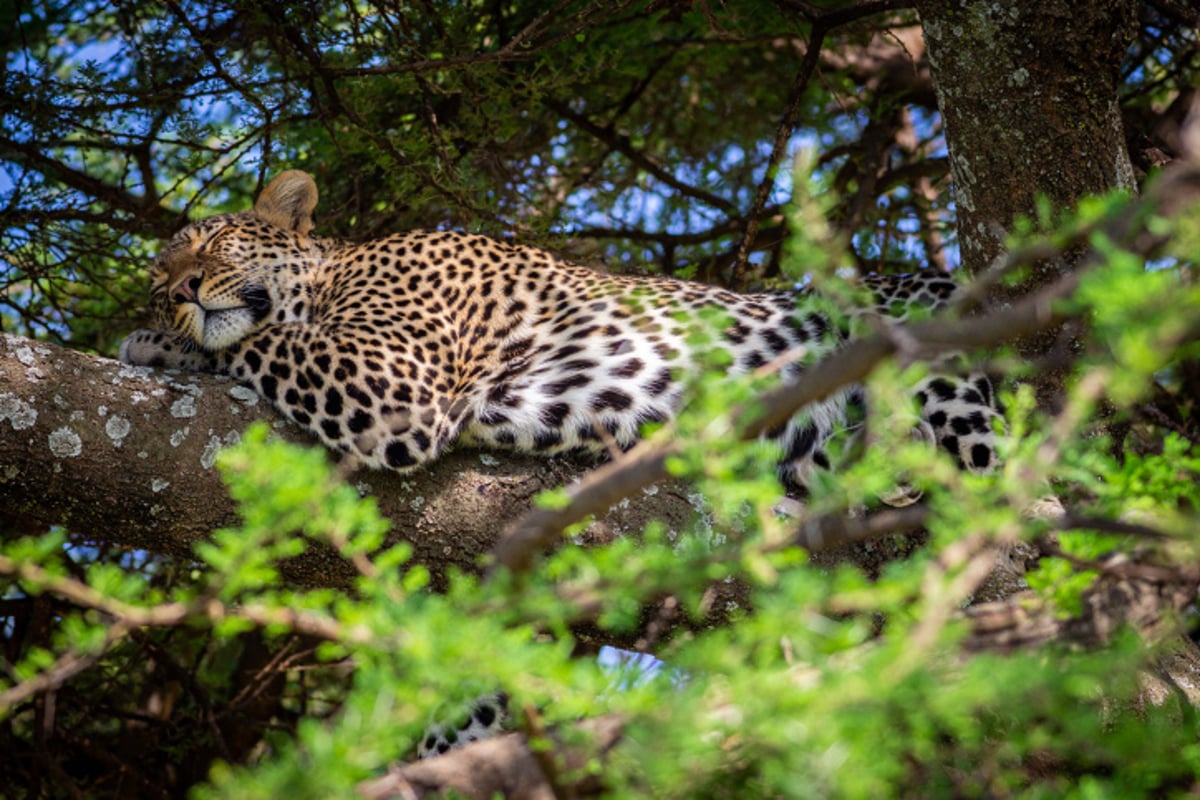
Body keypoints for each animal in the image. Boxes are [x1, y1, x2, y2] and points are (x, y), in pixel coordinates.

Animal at [121, 172, 1003, 762]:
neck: (338, 270)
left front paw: (160, 344)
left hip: (925, 343)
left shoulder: (393, 381)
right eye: (159, 278)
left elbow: (260, 339)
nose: (178, 294)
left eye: (206, 245)